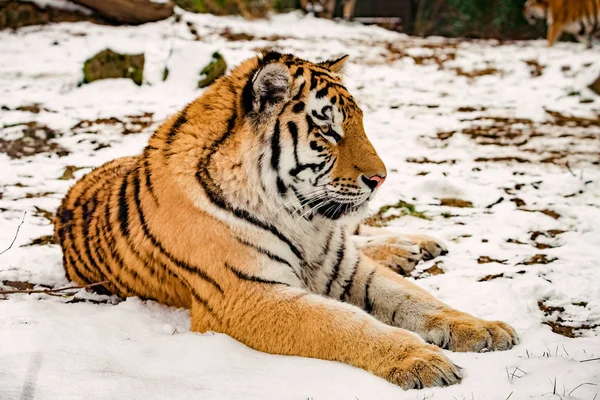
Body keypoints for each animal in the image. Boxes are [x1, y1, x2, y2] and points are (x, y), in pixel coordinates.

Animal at [54, 51, 516, 390]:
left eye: (360, 123)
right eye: (328, 131)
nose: (380, 178)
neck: (301, 217)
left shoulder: (346, 267)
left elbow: (417, 300)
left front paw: (485, 329)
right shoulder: (247, 294)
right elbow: (344, 323)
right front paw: (421, 359)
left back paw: (415, 245)